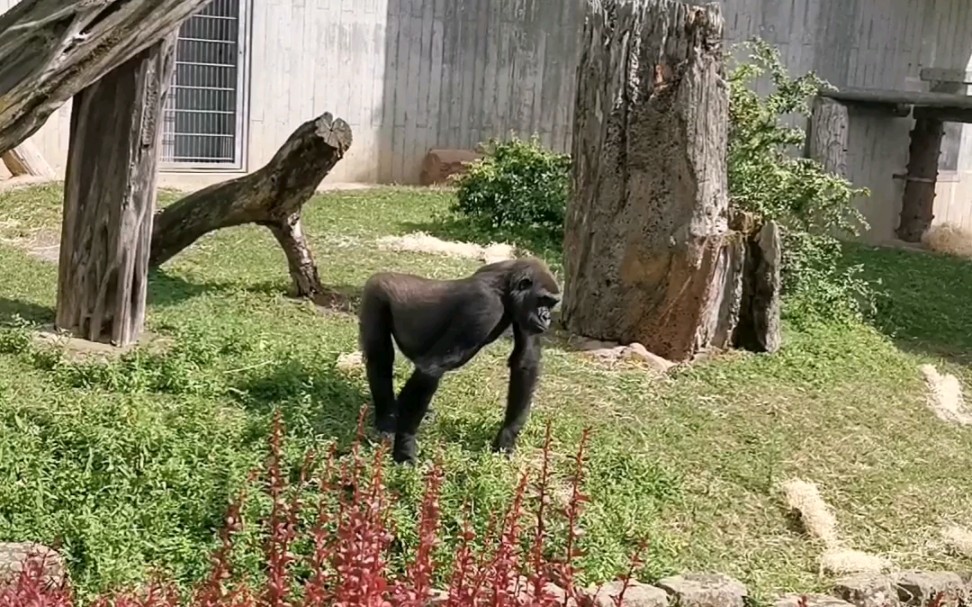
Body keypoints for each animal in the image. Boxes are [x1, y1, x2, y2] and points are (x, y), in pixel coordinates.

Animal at [356, 258, 560, 466]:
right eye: (542, 300)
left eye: (551, 303)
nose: (546, 317)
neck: (506, 286)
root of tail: (381, 275)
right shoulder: (485, 304)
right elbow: (432, 368)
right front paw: (404, 448)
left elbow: (525, 362)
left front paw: (506, 436)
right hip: (376, 293)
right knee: (381, 356)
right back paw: (387, 419)